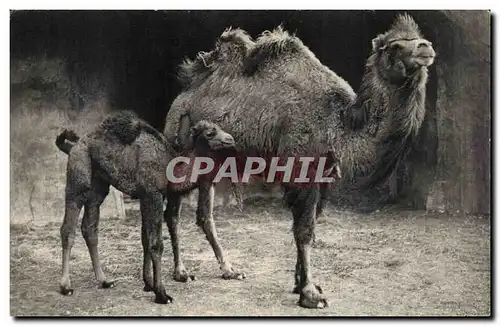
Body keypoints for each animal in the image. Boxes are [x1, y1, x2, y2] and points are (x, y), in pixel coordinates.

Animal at [55, 111, 235, 304]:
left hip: (99, 187)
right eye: (209, 133)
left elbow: (146, 240)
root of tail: (73, 146)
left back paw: (104, 281)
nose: (230, 139)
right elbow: (156, 244)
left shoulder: (146, 197)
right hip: (77, 180)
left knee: (90, 228)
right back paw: (66, 286)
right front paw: (161, 294)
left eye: (220, 128)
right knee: (68, 228)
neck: (169, 165)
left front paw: (148, 284)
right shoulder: (152, 194)